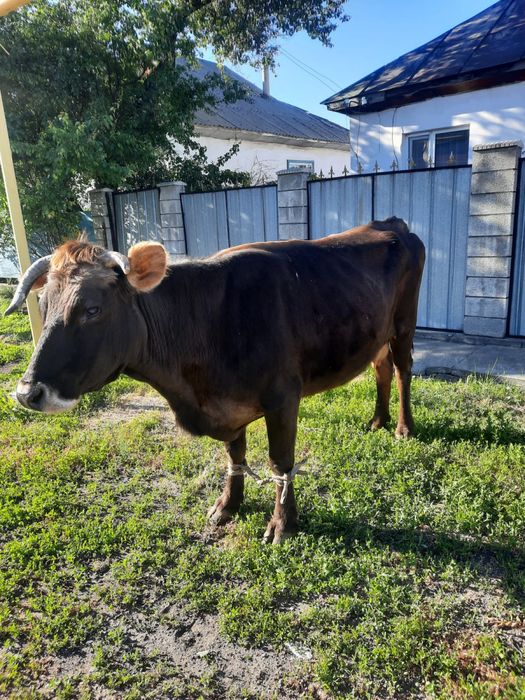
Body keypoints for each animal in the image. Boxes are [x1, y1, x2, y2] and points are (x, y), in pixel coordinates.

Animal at [6, 217, 425, 543]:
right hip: (376, 330)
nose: (27, 392)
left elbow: (281, 462)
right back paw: (377, 420)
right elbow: (234, 455)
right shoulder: (227, 405)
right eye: (42, 305)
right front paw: (228, 505)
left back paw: (403, 427)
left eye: (92, 309)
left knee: (402, 369)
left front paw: (283, 524)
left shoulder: (283, 396)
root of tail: (391, 224)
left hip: (404, 323)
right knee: (381, 368)